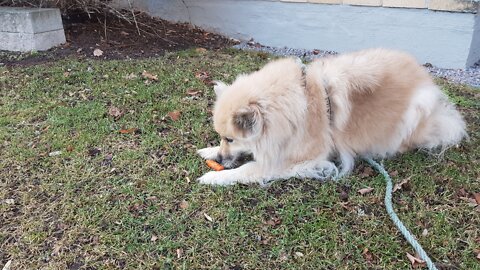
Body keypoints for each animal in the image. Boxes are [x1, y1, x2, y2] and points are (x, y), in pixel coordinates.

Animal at [197, 48, 466, 185]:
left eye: (231, 139)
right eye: (222, 138)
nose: (220, 159)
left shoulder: (295, 159)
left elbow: (248, 169)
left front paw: (214, 176)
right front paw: (209, 151)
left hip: (415, 111)